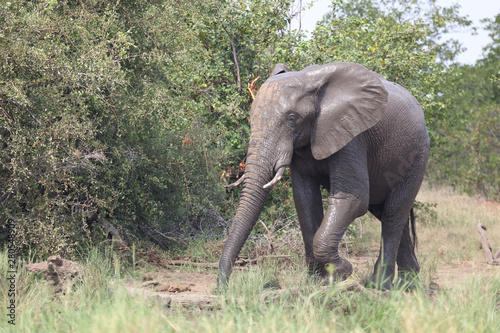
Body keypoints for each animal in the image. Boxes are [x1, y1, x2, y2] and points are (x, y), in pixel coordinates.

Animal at [219, 61, 430, 288]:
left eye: (292, 118)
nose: (225, 288)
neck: (310, 81)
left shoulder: (353, 134)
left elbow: (354, 198)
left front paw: (344, 271)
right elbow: (305, 200)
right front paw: (316, 281)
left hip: (418, 155)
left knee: (392, 214)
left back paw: (380, 285)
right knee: (388, 213)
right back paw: (409, 285)